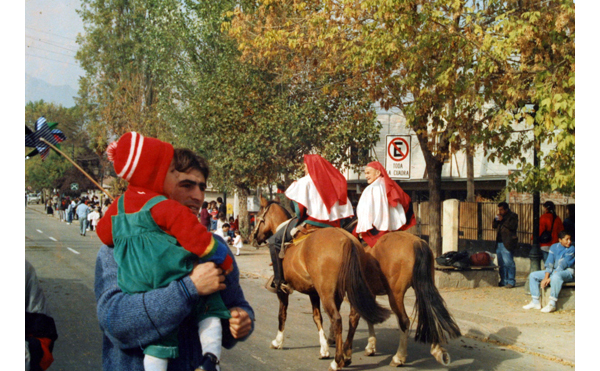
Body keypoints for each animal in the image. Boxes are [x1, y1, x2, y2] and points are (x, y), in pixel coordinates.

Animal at [252, 196, 390, 370]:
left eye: (258, 216)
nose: (253, 237)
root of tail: (348, 241)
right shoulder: (313, 292)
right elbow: (317, 317)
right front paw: (324, 348)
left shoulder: (282, 291)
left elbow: (282, 314)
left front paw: (278, 341)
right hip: (351, 289)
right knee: (353, 317)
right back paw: (347, 355)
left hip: (327, 293)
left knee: (337, 319)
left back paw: (337, 361)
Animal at [342, 231, 464, 368]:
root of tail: (417, 242)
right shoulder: (369, 294)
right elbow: (370, 317)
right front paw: (370, 347)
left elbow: (355, 318)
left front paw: (346, 355)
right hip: (424, 285)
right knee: (430, 312)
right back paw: (437, 350)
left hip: (395, 295)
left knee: (404, 321)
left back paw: (399, 357)